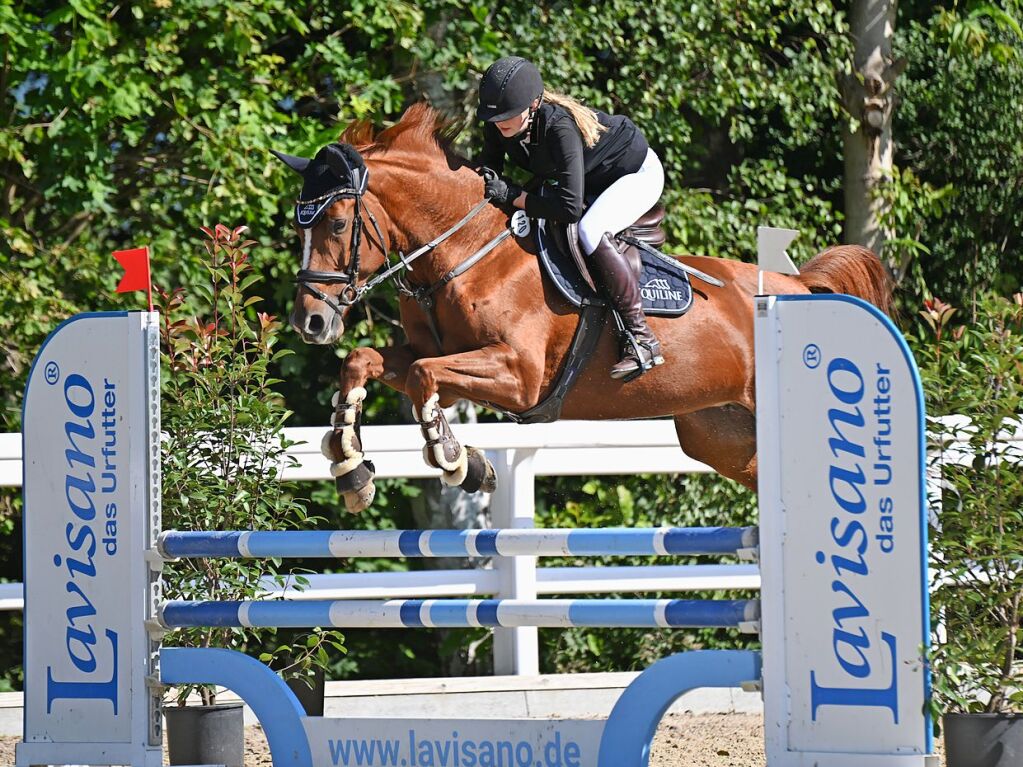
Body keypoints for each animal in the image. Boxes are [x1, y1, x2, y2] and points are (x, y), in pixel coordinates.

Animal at [276, 100, 892, 511]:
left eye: (336, 224)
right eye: (298, 226)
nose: (310, 321)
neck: (464, 251)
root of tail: (800, 286)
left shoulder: (519, 376)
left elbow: (425, 376)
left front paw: (458, 462)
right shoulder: (443, 368)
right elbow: (366, 362)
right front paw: (351, 467)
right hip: (723, 434)